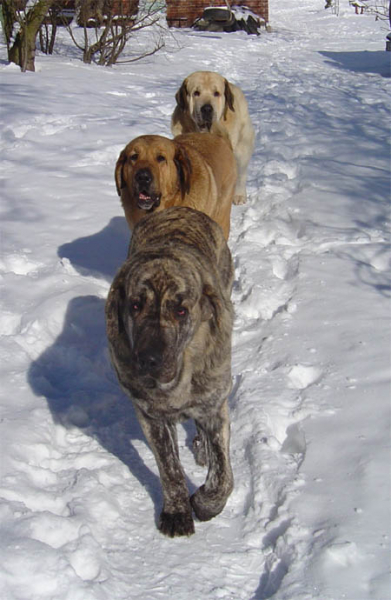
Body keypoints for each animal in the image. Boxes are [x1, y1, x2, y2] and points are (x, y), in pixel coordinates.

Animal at [105, 207, 234, 540]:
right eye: (135, 305)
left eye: (181, 311)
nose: (149, 359)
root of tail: (181, 209)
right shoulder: (151, 416)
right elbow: (170, 469)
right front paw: (177, 511)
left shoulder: (214, 407)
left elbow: (224, 477)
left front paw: (205, 504)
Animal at [172, 71, 254, 204]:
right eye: (196, 93)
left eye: (216, 93)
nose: (207, 108)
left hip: (242, 147)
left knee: (242, 172)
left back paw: (239, 195)